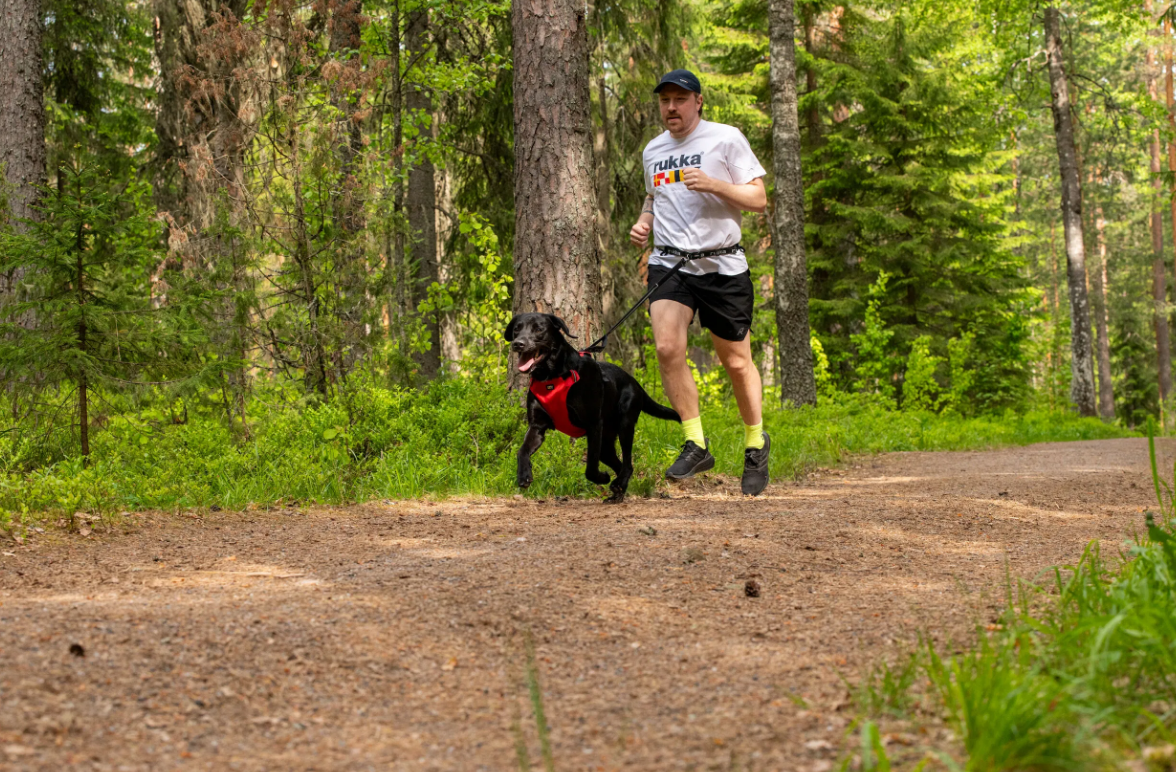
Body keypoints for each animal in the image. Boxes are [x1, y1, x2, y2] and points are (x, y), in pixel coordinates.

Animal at [505, 313, 682, 501]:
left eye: (539, 329)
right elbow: (522, 451)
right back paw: (618, 491)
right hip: (606, 444)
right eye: (517, 329)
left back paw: (617, 485)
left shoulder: (593, 425)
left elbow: (590, 467)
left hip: (625, 426)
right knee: (620, 465)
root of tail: (635, 383)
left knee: (627, 463)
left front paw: (602, 477)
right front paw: (523, 475)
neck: (551, 377)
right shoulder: (537, 427)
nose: (518, 343)